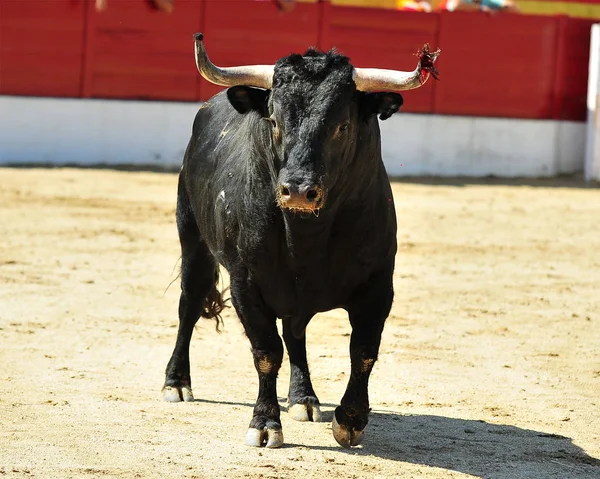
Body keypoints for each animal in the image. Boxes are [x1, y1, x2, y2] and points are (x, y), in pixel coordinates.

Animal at [162, 33, 438, 450]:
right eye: (275, 121)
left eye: (342, 126)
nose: (297, 190)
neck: (308, 236)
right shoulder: (246, 284)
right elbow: (265, 352)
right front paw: (264, 424)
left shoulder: (378, 285)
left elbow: (363, 351)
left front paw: (350, 420)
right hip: (191, 236)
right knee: (189, 304)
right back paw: (176, 383)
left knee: (295, 331)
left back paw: (303, 398)